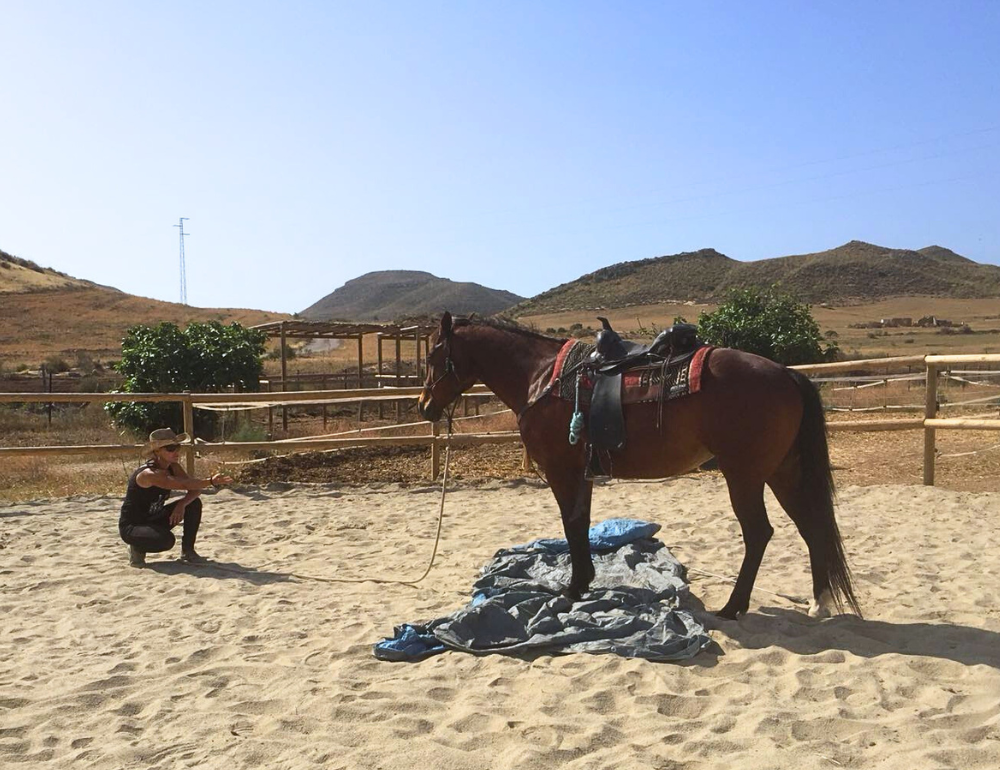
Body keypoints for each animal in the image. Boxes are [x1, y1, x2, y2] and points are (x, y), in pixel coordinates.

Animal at [416, 312, 860, 616]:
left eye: (435, 354)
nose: (424, 406)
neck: (541, 376)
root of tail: (787, 374)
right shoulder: (583, 473)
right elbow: (581, 524)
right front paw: (583, 582)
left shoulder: (561, 470)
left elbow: (571, 524)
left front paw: (573, 589)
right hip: (783, 472)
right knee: (811, 527)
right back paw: (819, 602)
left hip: (745, 476)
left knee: (759, 534)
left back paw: (733, 607)